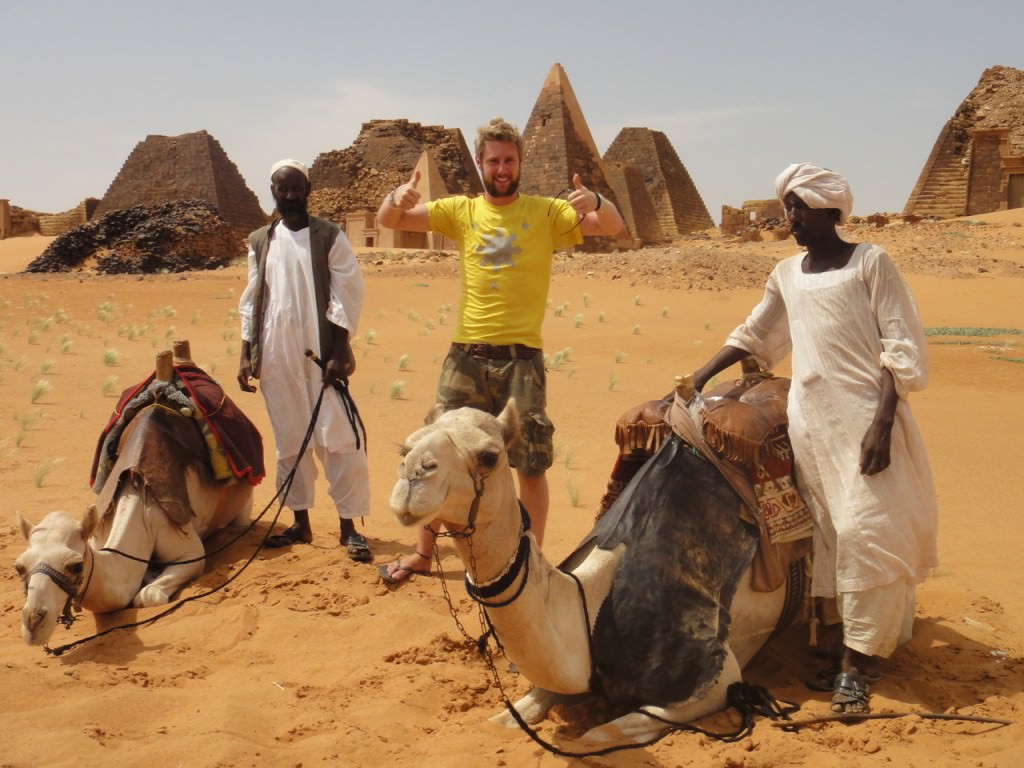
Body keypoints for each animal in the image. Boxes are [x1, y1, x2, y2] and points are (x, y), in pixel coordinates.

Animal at [387, 403, 794, 745]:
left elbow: (594, 736)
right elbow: (507, 719)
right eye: (404, 448)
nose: (412, 476)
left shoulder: (714, 681)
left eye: (489, 456)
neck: (595, 596)